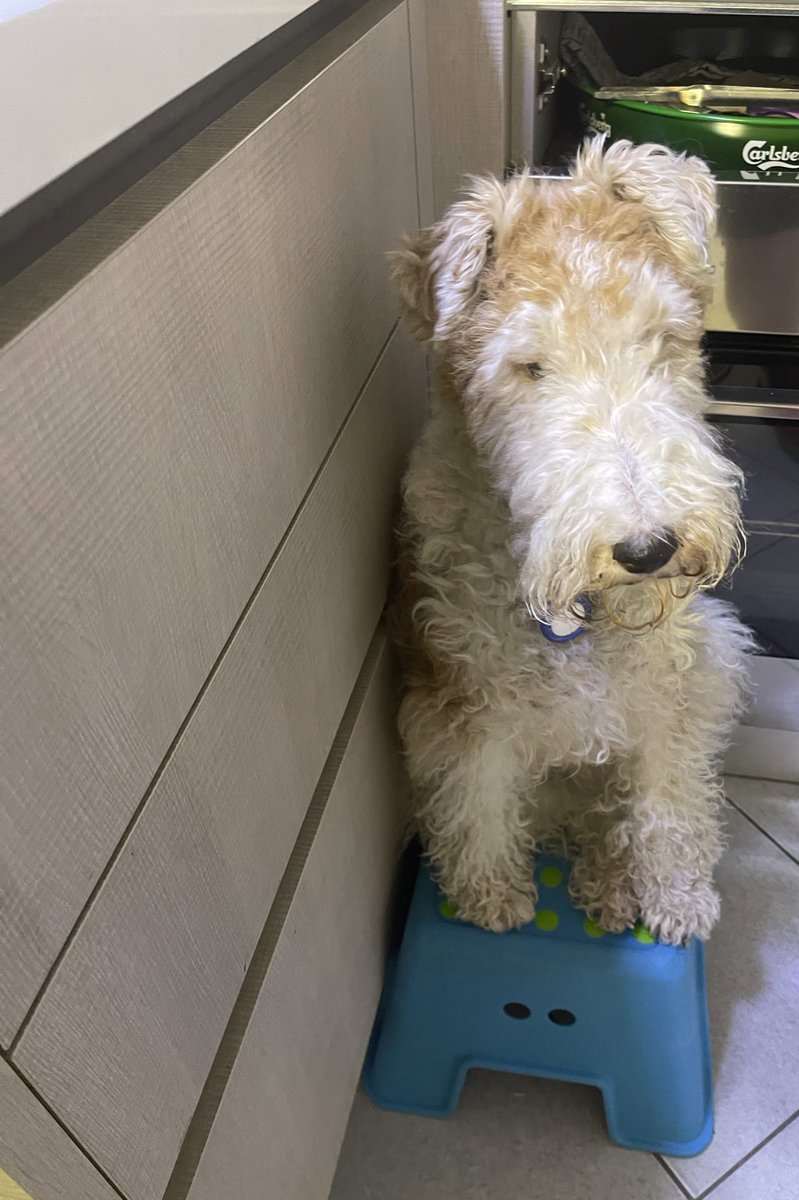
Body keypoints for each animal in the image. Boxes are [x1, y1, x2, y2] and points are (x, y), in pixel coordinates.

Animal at [388, 138, 748, 945]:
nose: (647, 550)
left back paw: (615, 889)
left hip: (716, 654)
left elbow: (670, 802)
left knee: (617, 815)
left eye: (660, 338)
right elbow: (478, 802)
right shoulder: (463, 701)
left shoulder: (669, 689)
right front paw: (491, 895)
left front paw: (679, 899)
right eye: (529, 367)